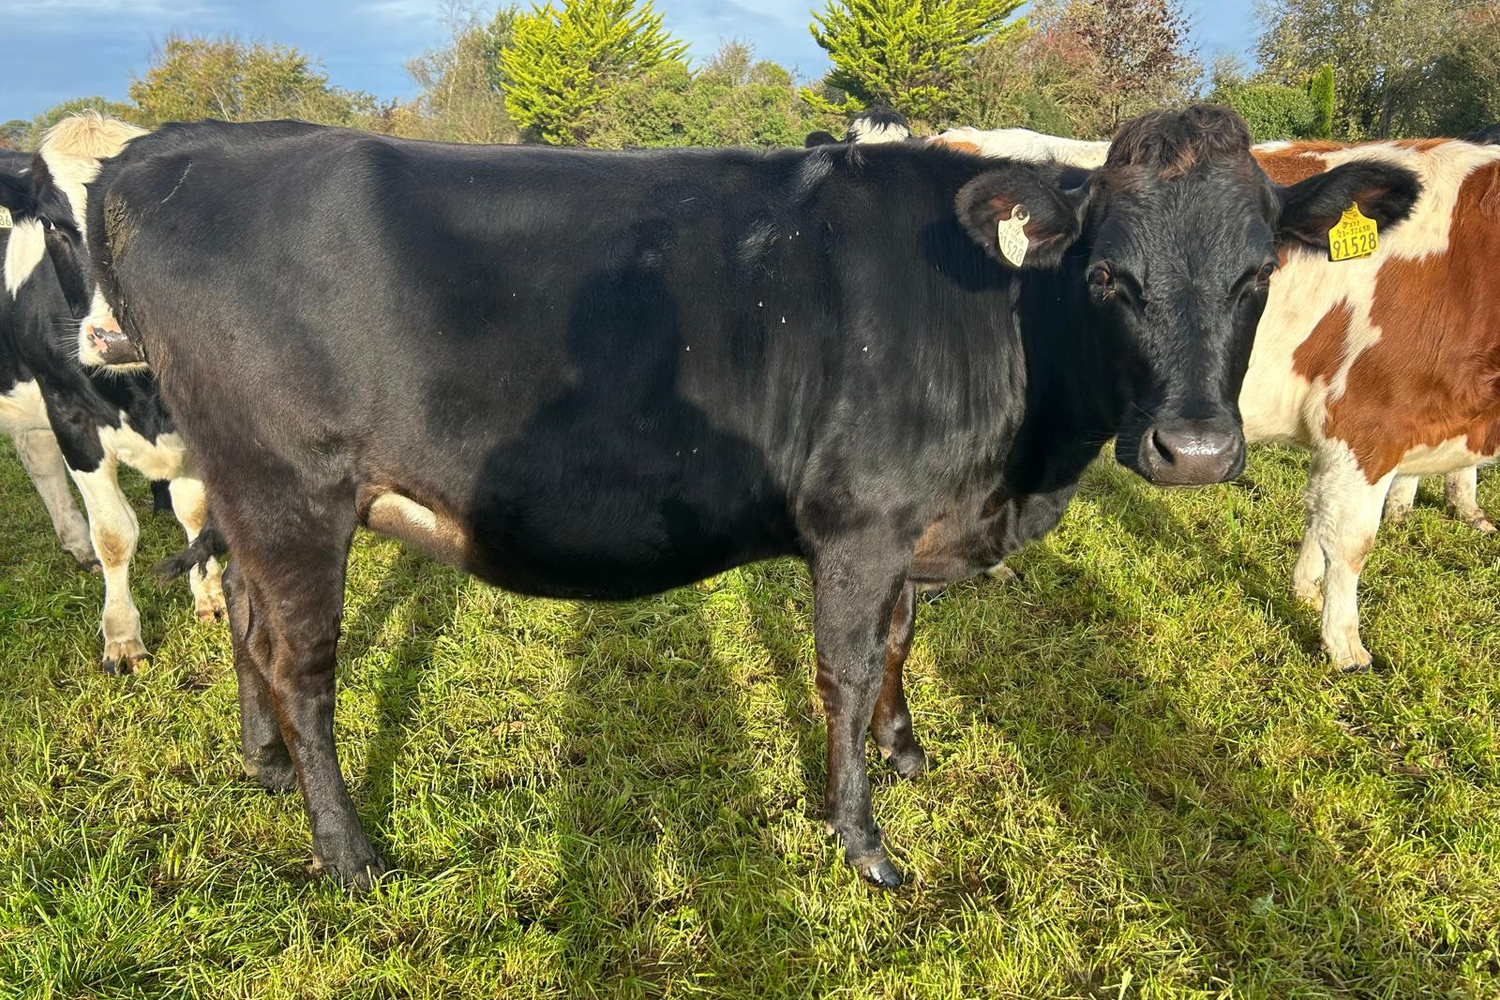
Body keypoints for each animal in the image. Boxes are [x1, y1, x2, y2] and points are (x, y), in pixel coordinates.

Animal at [0, 119, 226, 675]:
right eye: (54, 224)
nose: (119, 337)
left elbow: (194, 510)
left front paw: (209, 596)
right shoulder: (70, 415)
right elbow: (116, 534)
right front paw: (122, 638)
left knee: (36, 458)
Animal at [930, 124, 1500, 671]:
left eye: (1267, 270)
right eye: (1103, 274)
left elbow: (1318, 519)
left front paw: (1306, 591)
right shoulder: (1365, 420)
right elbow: (1350, 539)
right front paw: (1345, 646)